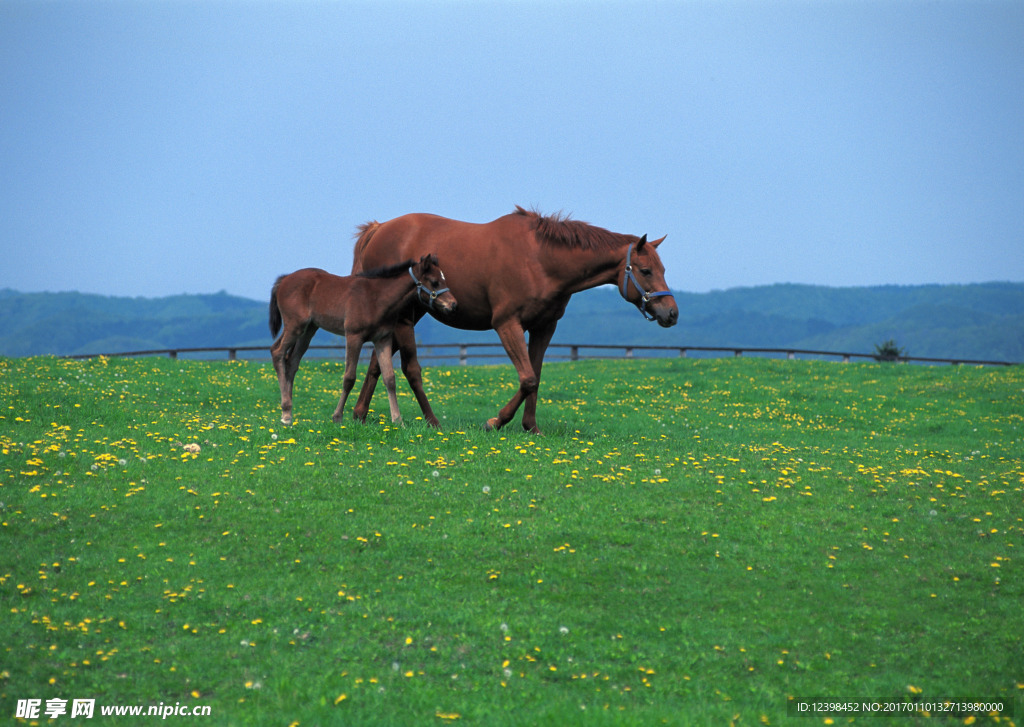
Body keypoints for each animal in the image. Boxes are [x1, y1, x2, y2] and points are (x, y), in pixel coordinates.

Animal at [348, 204, 675, 432]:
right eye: (645, 270)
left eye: (663, 269)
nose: (672, 312)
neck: (540, 260)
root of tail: (379, 229)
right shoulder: (507, 324)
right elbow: (527, 378)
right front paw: (496, 421)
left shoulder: (544, 327)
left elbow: (536, 376)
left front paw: (531, 427)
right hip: (406, 317)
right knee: (407, 368)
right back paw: (429, 421)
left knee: (377, 364)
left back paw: (359, 414)